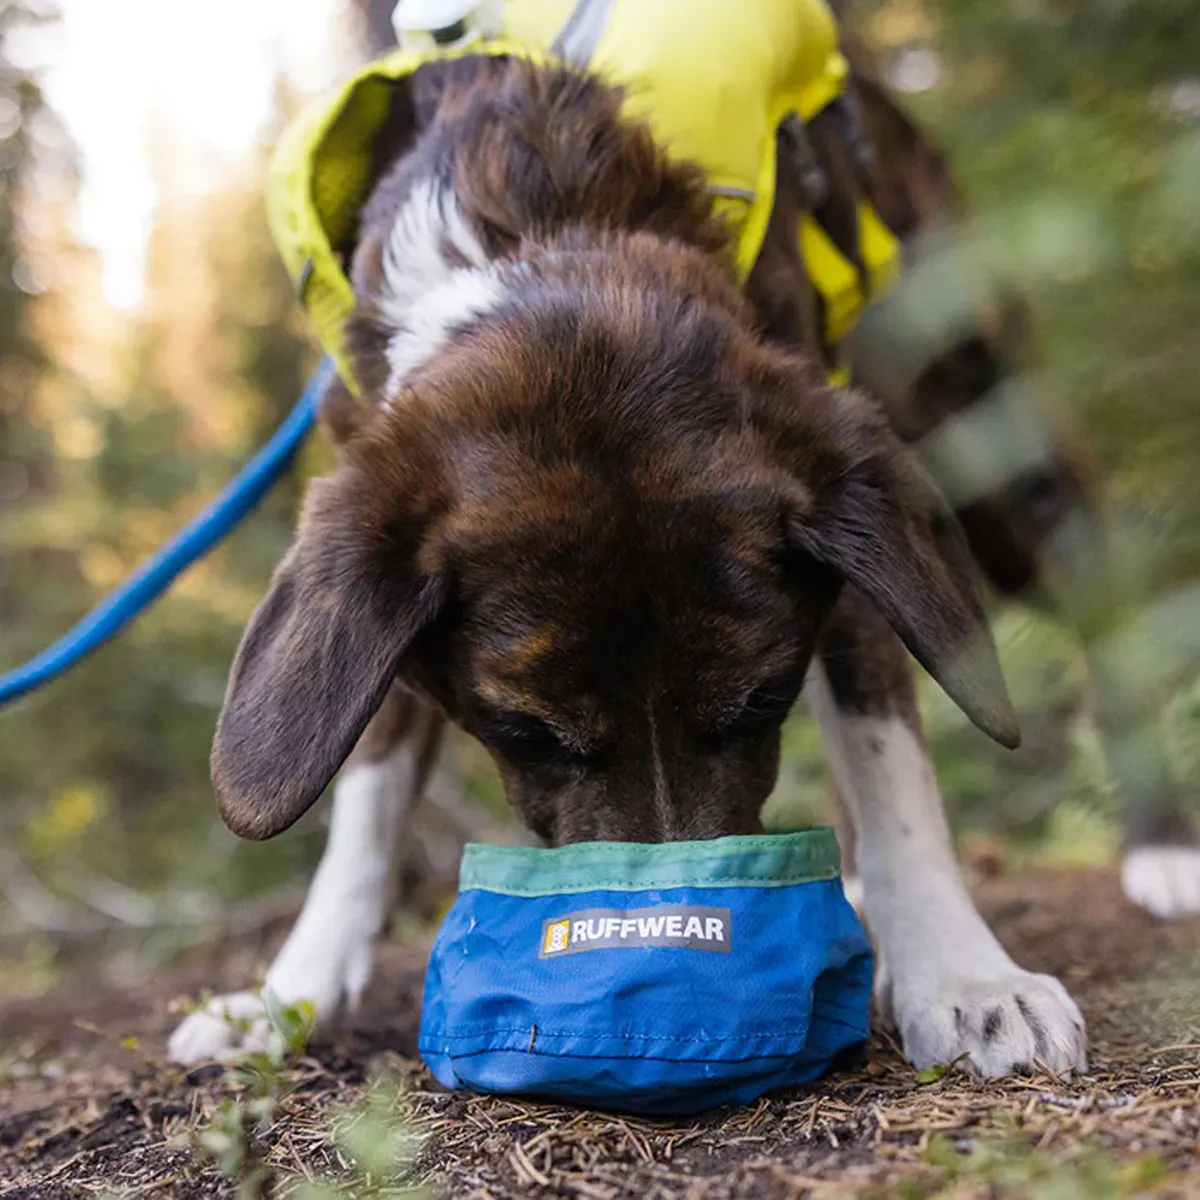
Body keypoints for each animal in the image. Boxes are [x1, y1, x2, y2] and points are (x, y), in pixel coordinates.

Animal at [171, 18, 1142, 1075]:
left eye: (763, 699)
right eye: (525, 732)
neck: (541, 229)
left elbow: (892, 769)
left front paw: (966, 978)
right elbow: (369, 786)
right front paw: (288, 996)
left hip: (991, 441)